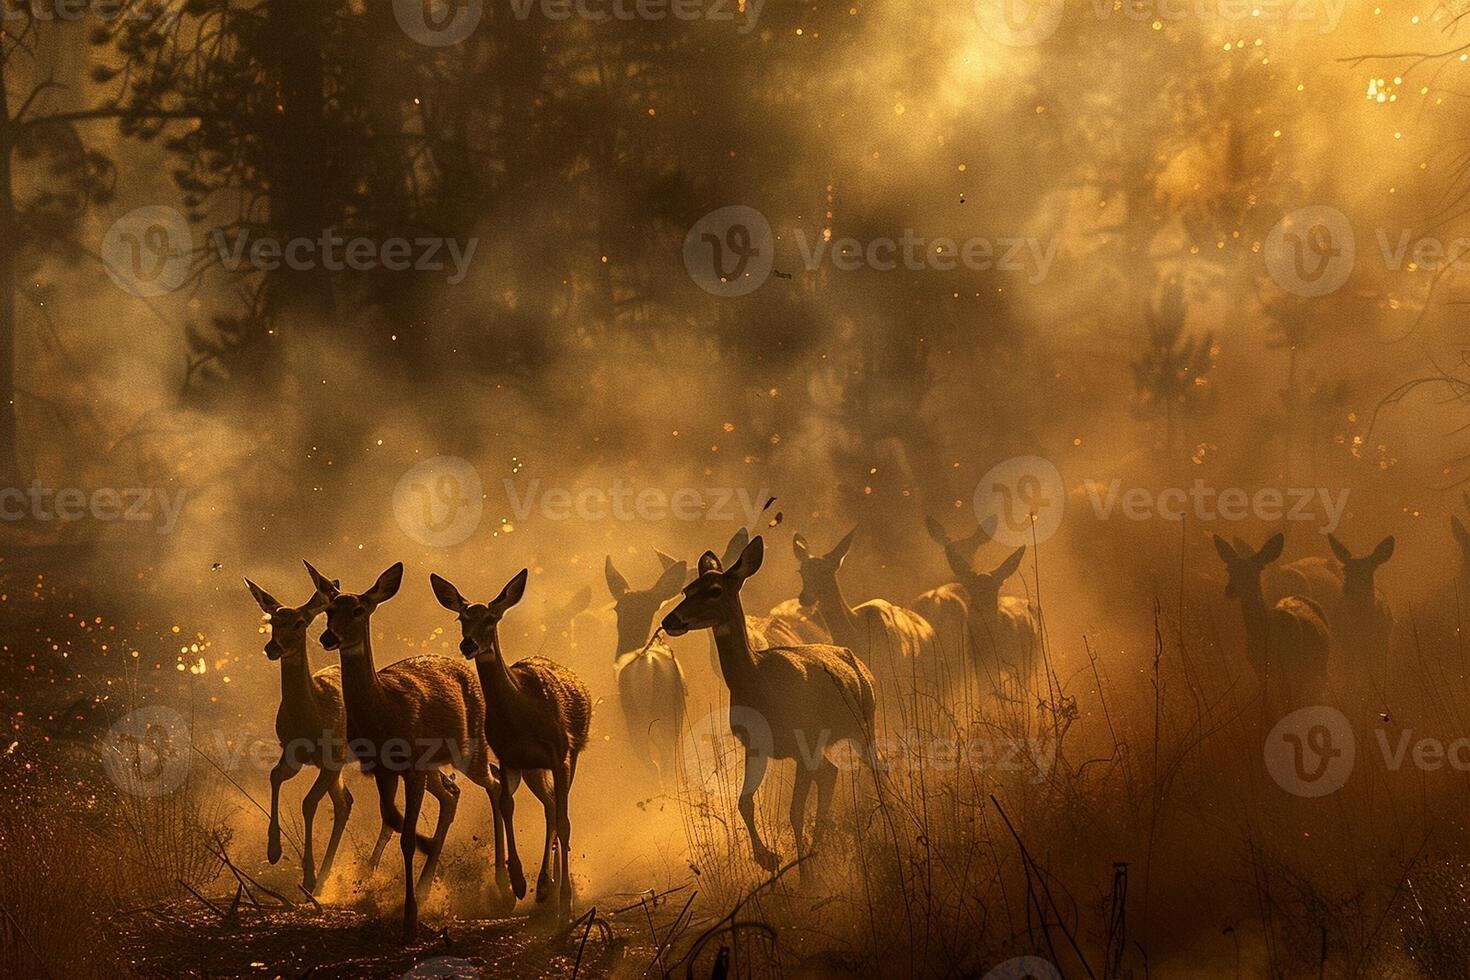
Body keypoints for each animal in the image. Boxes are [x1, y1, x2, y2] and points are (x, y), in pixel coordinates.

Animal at [301, 564, 514, 940]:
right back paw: (430, 882)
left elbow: (404, 837)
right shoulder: (382, 768)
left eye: (359, 610)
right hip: (435, 764)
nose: (328, 637)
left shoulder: (411, 767)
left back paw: (503, 886)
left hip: (470, 746)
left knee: (493, 783)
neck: (384, 710)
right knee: (452, 794)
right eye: (329, 610)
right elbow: (391, 817)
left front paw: (410, 919)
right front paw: (424, 848)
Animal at [429, 570, 590, 916]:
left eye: (491, 618)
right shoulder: (508, 758)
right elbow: (506, 805)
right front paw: (517, 882)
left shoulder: (559, 754)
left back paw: (554, 888)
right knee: (549, 804)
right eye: (462, 617)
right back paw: (543, 887)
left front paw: (566, 902)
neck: (522, 713)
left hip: (571, 757)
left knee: (557, 810)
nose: (469, 643)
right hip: (532, 770)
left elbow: (565, 822)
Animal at [602, 552, 687, 781]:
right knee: (663, 762)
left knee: (656, 764)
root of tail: (648, 666)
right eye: (618, 608)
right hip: (662, 717)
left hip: (642, 719)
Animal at [664, 537, 876, 875]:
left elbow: (794, 811)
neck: (759, 684)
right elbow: (745, 803)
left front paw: (803, 875)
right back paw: (817, 848)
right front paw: (767, 858)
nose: (669, 620)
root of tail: (858, 663)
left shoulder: (804, 741)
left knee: (875, 770)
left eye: (714, 590)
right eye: (687, 589)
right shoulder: (756, 746)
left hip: (864, 724)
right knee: (829, 774)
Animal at [1205, 537, 1334, 705]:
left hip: (1317, 666)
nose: (1230, 590)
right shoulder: (1259, 669)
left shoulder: (1287, 666)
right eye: (1230, 569)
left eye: (1256, 569)